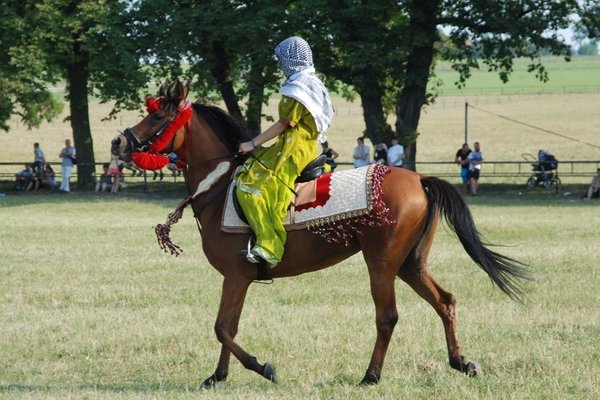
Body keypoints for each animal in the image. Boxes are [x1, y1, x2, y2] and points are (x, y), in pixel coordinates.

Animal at [110, 80, 528, 388]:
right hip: (410, 263)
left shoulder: (236, 274)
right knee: (445, 301)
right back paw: (461, 362)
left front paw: (262, 368)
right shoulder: (239, 278)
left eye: (157, 116)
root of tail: (418, 178)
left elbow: (222, 327)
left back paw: (371, 376)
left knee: (387, 316)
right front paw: (218, 376)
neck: (220, 187)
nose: (119, 142)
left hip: (382, 263)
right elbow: (229, 326)